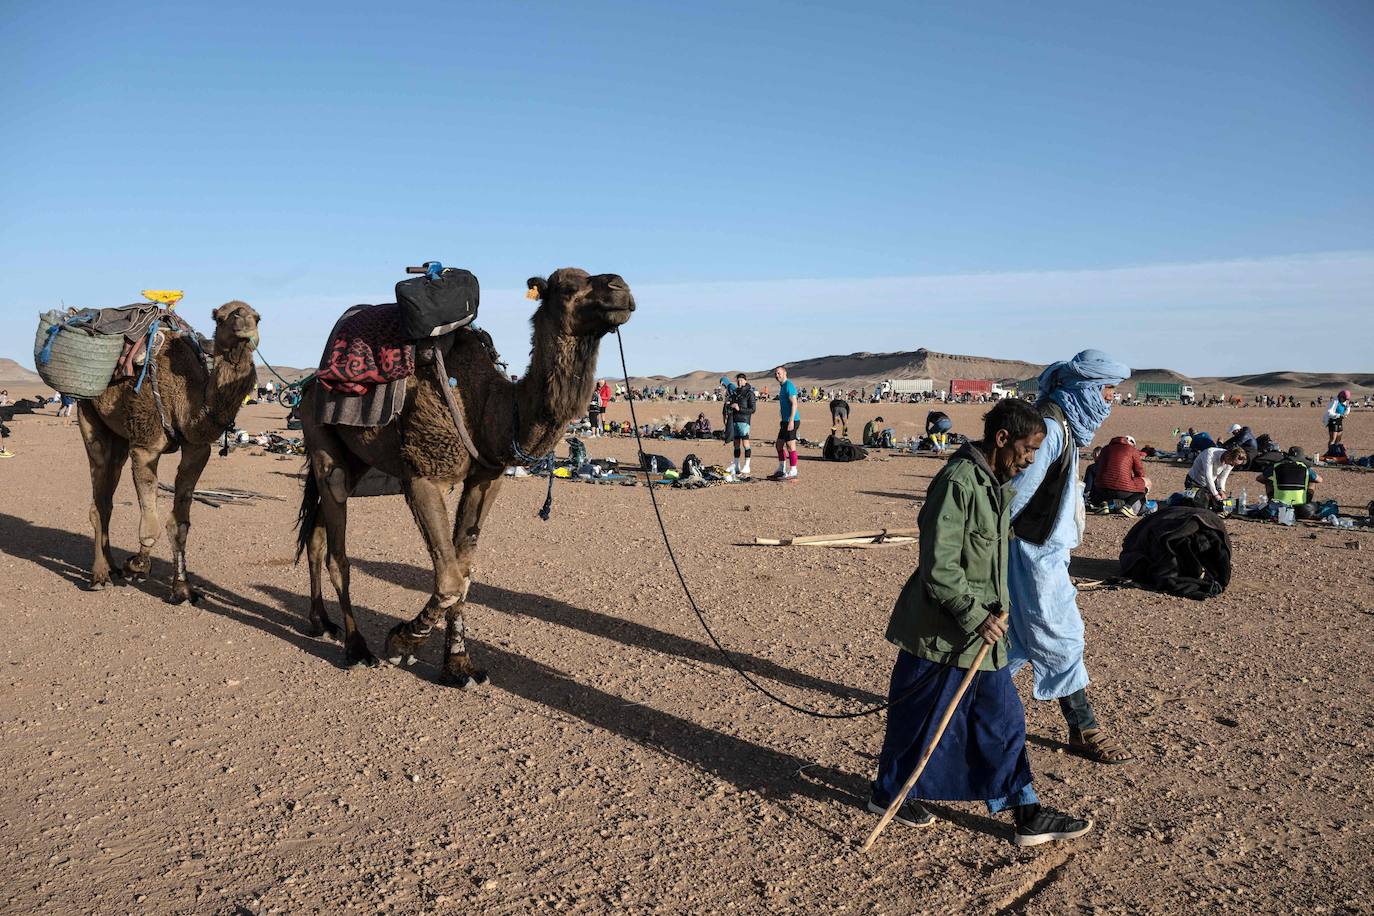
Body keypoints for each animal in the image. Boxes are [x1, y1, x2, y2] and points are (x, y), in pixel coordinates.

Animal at [77, 300, 262, 601]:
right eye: (221, 317)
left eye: (257, 317)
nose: (245, 322)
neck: (187, 405)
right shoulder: (145, 446)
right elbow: (151, 524)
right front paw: (138, 565)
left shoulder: (197, 450)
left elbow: (180, 525)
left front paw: (183, 588)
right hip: (87, 411)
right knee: (99, 492)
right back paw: (100, 575)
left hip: (120, 435)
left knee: (108, 495)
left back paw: (112, 567)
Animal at [296, 269, 637, 683]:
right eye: (569, 286)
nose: (620, 288)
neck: (492, 409)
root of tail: (309, 384)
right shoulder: (423, 475)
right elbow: (448, 580)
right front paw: (401, 642)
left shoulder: (486, 477)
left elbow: (464, 572)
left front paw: (459, 666)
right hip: (320, 436)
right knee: (337, 547)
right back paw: (357, 648)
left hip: (358, 456)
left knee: (315, 534)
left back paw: (320, 622)